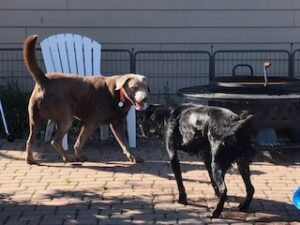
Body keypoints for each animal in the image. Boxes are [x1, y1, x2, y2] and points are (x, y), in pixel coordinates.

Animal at [23, 35, 150, 165]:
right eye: (134, 87)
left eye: (146, 87)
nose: (145, 98)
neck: (118, 94)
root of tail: (45, 80)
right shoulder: (92, 121)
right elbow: (80, 141)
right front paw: (80, 156)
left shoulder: (117, 123)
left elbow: (125, 144)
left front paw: (133, 157)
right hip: (66, 119)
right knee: (55, 141)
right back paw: (68, 158)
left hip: (35, 119)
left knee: (30, 140)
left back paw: (31, 159)